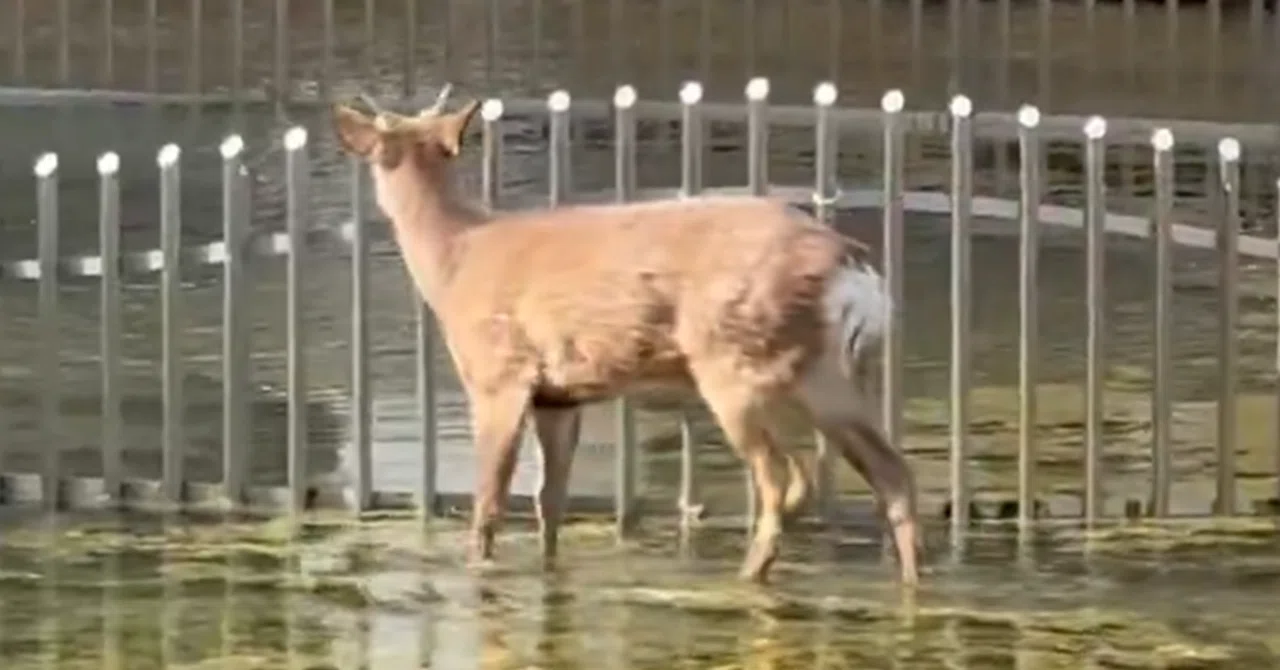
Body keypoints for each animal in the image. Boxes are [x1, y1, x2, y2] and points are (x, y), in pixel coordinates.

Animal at [331, 83, 921, 585]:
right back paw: (910, 582)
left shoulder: (499, 375)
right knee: (890, 472)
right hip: (825, 374)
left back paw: (747, 577)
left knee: (779, 478)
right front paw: (549, 569)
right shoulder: (559, 397)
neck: (454, 258)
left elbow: (489, 502)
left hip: (734, 364)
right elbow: (550, 501)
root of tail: (854, 271)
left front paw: (480, 569)